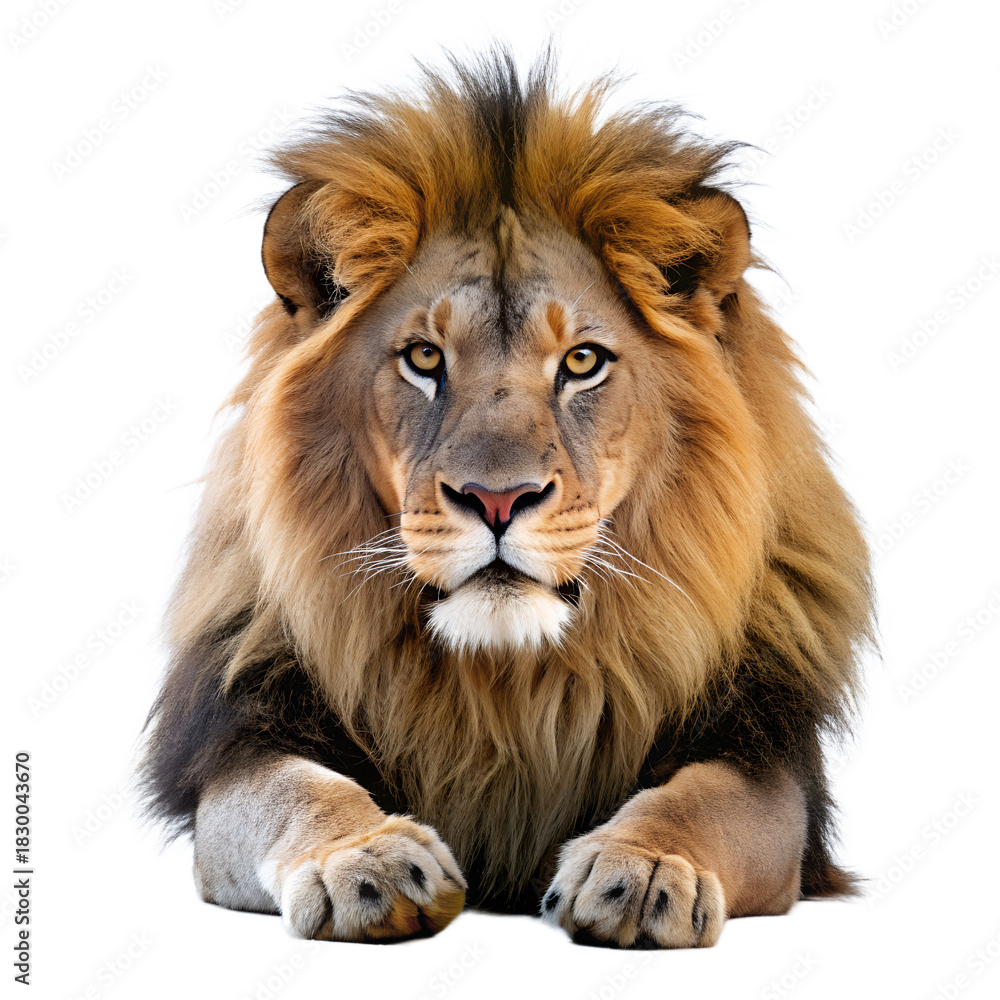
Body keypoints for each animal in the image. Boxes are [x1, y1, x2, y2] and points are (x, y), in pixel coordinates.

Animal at [140, 49, 874, 949]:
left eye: (583, 362)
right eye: (424, 358)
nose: (497, 499)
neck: (507, 685)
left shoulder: (765, 758)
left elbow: (702, 803)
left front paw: (642, 870)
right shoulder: (243, 743)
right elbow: (298, 791)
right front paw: (370, 860)